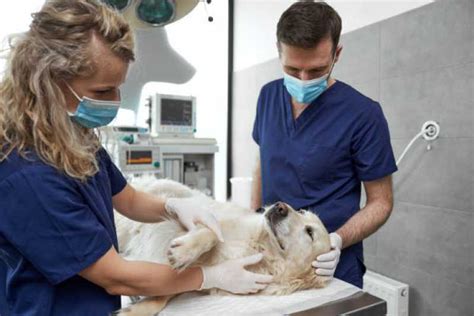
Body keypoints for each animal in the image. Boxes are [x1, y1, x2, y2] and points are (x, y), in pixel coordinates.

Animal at [114, 179, 330, 314]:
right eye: (301, 211)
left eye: (310, 232)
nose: (279, 206)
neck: (259, 247)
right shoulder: (207, 220)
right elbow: (211, 234)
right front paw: (183, 252)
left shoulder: (196, 280)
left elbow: (168, 290)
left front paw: (136, 307)